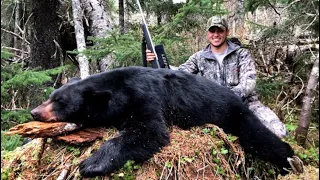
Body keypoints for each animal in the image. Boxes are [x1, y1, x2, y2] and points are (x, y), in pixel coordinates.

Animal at [30, 66, 296, 177]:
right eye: (50, 96)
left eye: (59, 101)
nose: (33, 112)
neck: (118, 90)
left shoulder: (144, 97)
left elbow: (149, 132)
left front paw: (91, 164)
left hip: (233, 115)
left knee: (258, 138)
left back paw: (291, 161)